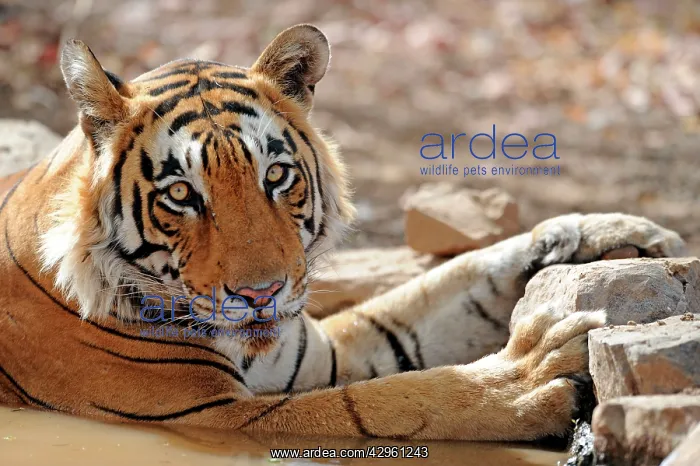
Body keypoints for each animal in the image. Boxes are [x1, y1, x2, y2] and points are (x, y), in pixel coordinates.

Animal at [0, 24, 687, 441]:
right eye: (181, 194)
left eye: (276, 175)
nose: (261, 295)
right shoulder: (213, 416)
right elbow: (391, 403)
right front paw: (532, 374)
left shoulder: (317, 354)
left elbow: (451, 287)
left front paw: (612, 233)